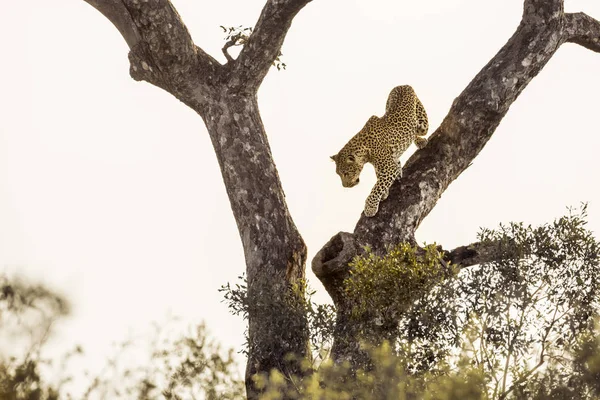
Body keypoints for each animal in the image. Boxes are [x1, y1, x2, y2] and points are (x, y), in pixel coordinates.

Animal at [330, 84, 428, 217]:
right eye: (338, 174)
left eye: (345, 173)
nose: (345, 186)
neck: (364, 151)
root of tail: (403, 85)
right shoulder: (383, 167)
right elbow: (380, 180)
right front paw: (385, 193)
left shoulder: (388, 168)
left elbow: (377, 187)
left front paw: (370, 207)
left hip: (422, 124)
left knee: (417, 131)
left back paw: (420, 141)